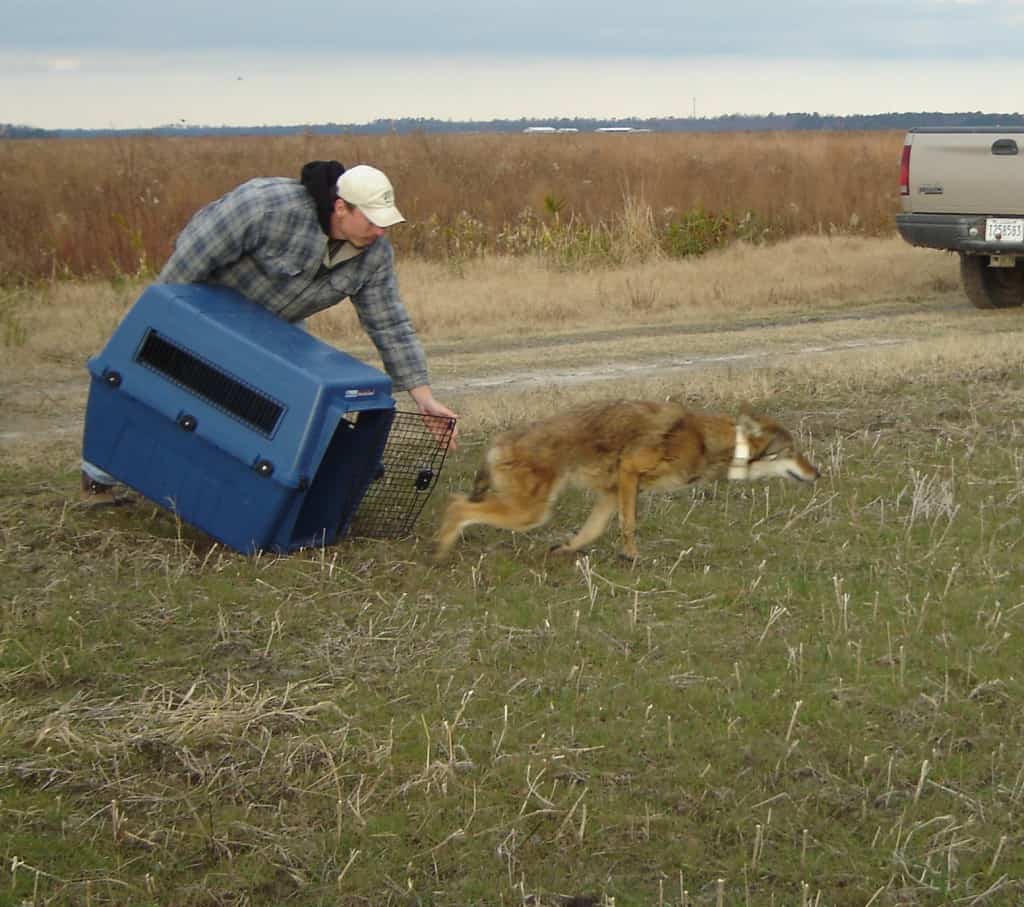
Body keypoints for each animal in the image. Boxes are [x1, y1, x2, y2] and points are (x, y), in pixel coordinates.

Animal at [435, 399, 819, 561]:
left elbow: (592, 530)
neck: (707, 442)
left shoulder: (611, 490)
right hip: (530, 513)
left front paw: (565, 549)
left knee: (458, 502)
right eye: (792, 451)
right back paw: (441, 548)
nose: (818, 473)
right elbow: (629, 524)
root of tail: (497, 441)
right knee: (456, 505)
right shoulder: (629, 472)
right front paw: (632, 556)